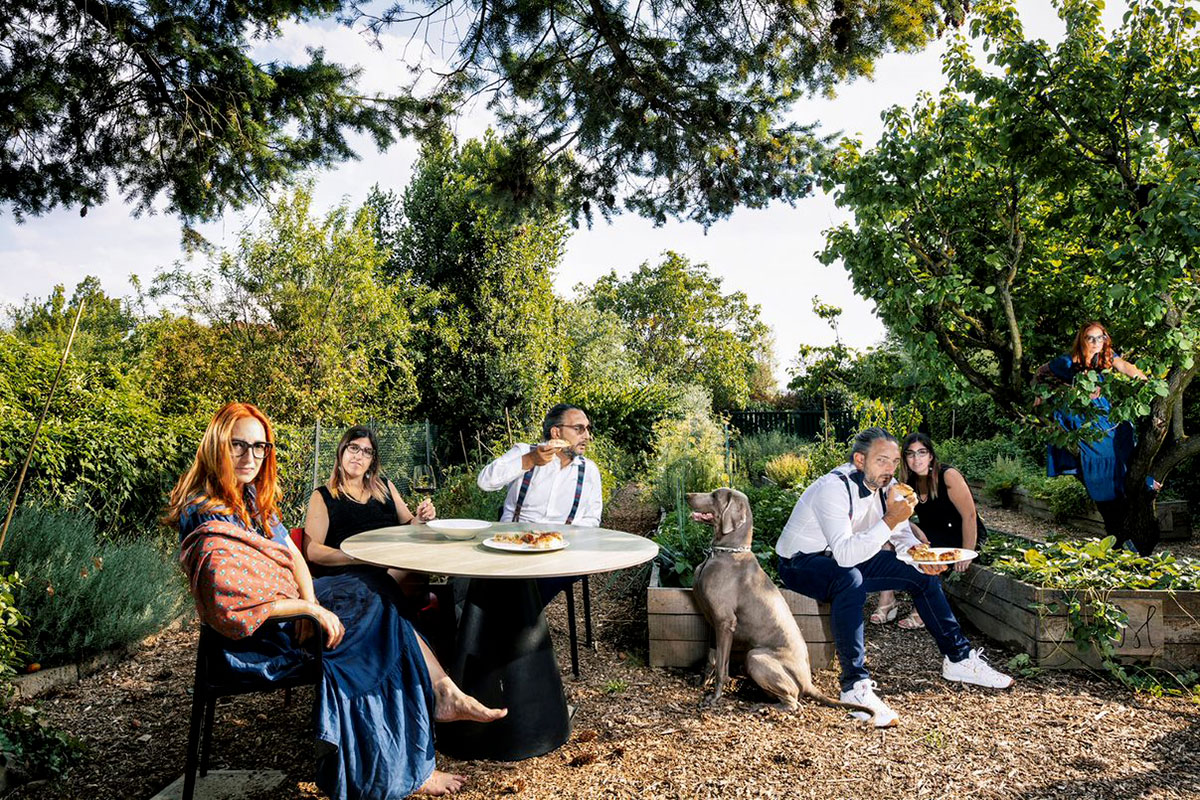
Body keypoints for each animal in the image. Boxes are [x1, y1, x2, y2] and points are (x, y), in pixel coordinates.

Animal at [686, 484, 873, 724]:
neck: (725, 553)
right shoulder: (712, 620)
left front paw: (715, 697)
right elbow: (712, 658)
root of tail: (808, 682)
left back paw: (762, 707)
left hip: (755, 657)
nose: (687, 495)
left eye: (715, 495)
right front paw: (703, 682)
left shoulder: (725, 622)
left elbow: (721, 666)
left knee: (794, 703)